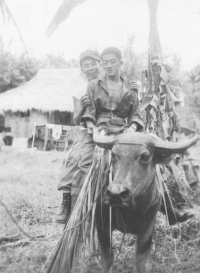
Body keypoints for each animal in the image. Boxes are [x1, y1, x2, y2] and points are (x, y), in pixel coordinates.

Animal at [93, 129, 198, 272]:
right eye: (114, 155)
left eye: (145, 156)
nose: (116, 194)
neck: (130, 211)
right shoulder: (102, 225)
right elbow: (107, 258)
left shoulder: (148, 227)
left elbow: (141, 260)